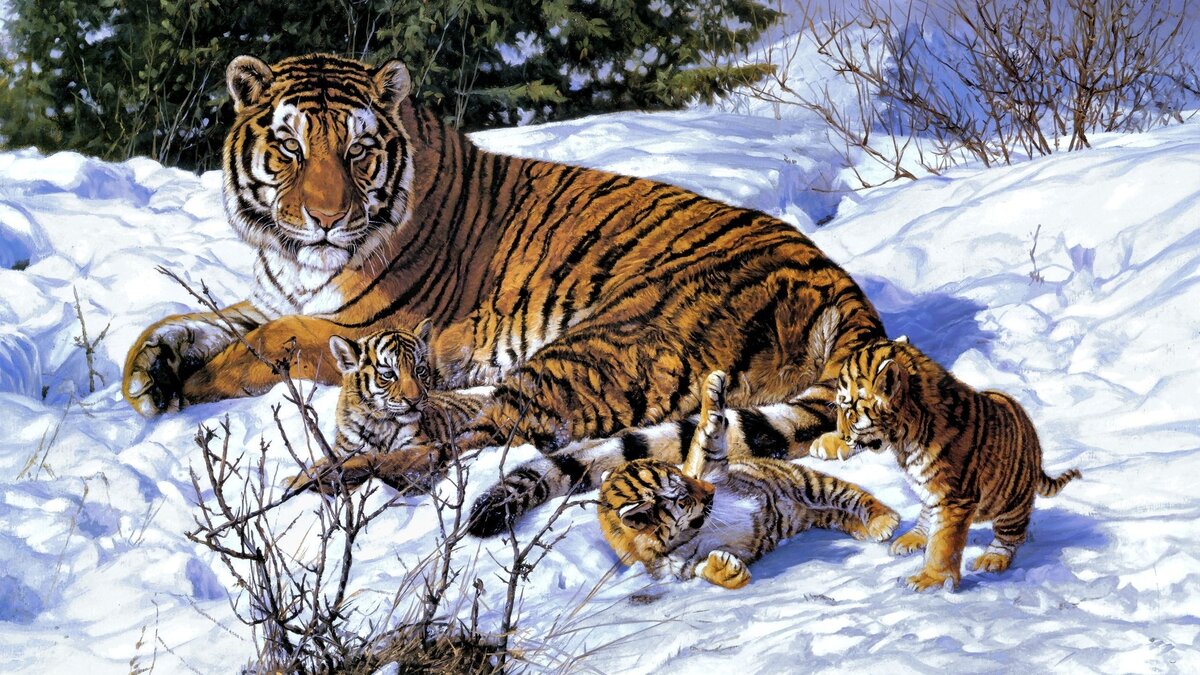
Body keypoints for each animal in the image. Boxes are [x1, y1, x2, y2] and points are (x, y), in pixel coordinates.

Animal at [296, 320, 486, 493]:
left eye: (419, 370)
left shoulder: (421, 449)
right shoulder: (345, 449)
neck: (377, 423)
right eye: (388, 375)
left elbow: (384, 459)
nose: (414, 400)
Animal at [598, 371, 899, 589]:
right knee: (843, 511)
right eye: (682, 498)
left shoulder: (710, 467)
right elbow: (704, 570)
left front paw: (712, 385)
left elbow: (704, 435)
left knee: (856, 496)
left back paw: (882, 521)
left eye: (683, 476)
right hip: (818, 509)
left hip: (808, 483)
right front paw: (726, 570)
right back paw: (868, 529)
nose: (710, 491)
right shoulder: (680, 566)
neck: (691, 531)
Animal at [808, 337, 1081, 591]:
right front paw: (827, 443)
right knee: (927, 516)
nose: (842, 433)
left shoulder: (955, 499)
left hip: (1013, 503)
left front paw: (930, 580)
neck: (904, 439)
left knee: (1010, 536)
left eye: (847, 407)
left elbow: (943, 543)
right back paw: (910, 539)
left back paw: (993, 559)